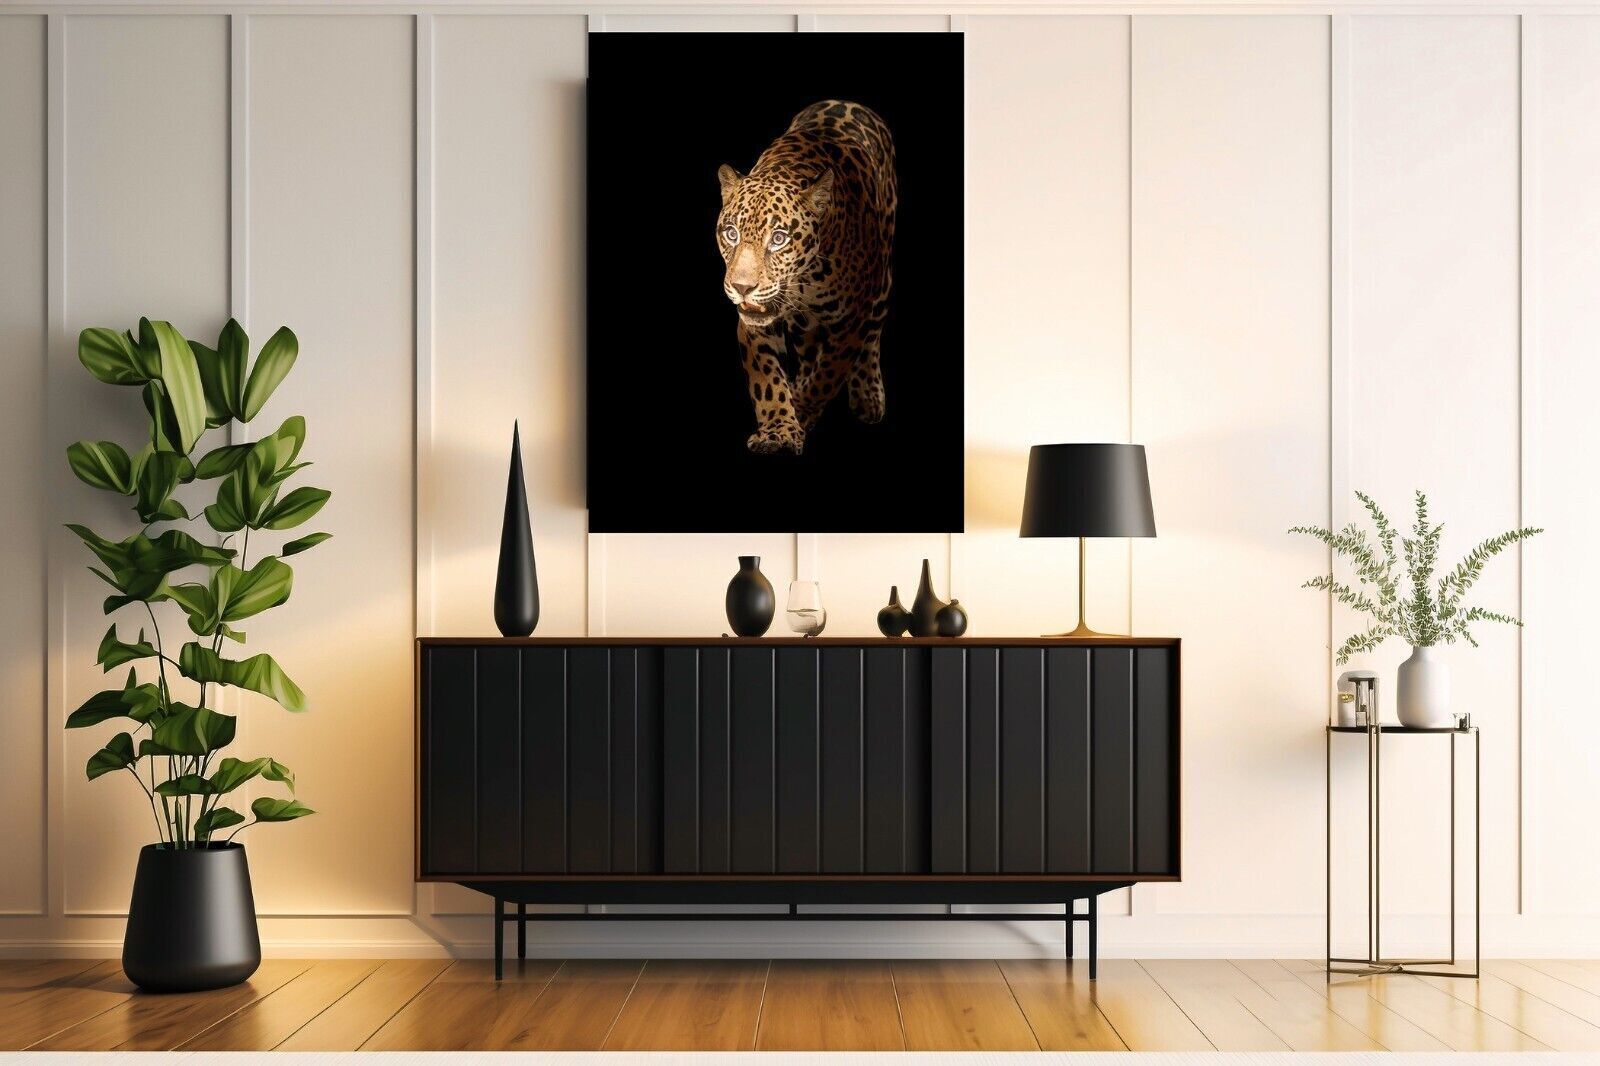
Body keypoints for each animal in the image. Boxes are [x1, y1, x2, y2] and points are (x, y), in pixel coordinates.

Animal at [716, 100, 896, 455]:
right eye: (731, 233)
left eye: (778, 239)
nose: (742, 287)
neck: (805, 279)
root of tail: (851, 101)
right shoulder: (754, 323)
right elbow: (768, 380)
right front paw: (779, 429)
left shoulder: (851, 320)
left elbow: (828, 375)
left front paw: (800, 410)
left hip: (882, 283)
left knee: (871, 337)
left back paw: (868, 395)